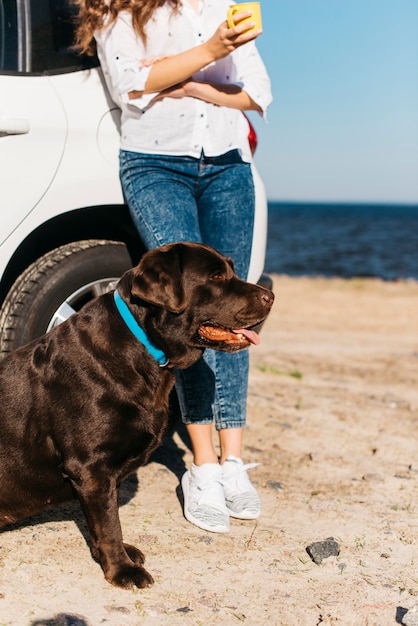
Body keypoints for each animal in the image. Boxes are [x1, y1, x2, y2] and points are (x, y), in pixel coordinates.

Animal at [0, 239, 274, 584]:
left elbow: (104, 519)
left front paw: (117, 555)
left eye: (232, 270)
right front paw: (123, 569)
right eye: (215, 277)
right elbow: (109, 524)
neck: (143, 346)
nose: (270, 297)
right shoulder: (91, 468)